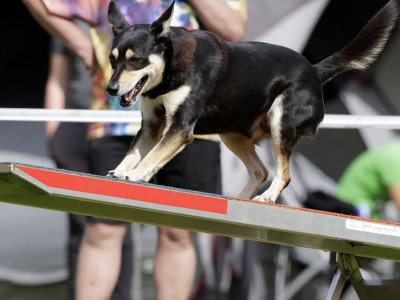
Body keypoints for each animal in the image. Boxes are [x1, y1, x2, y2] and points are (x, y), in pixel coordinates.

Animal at [107, 0, 400, 202]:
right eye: (113, 59)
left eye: (135, 60)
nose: (110, 89)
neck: (172, 65)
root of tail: (315, 71)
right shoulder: (152, 126)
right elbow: (134, 153)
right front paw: (118, 172)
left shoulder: (179, 129)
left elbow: (151, 156)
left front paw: (136, 174)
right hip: (231, 133)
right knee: (260, 171)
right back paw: (240, 198)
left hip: (280, 122)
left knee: (283, 174)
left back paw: (267, 197)